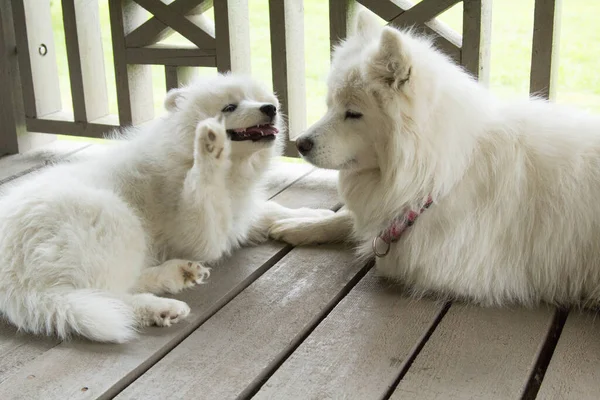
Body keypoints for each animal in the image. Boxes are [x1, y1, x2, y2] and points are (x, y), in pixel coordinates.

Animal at [0, 73, 332, 342]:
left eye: (264, 100)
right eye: (229, 107)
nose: (271, 109)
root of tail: (13, 279)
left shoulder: (235, 214)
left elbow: (268, 210)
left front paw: (310, 219)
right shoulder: (200, 234)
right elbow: (203, 190)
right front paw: (209, 146)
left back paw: (177, 276)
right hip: (116, 220)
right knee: (106, 294)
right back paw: (160, 306)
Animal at [272, 11, 600, 306]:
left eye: (353, 113)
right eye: (329, 105)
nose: (299, 143)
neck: (446, 174)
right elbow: (344, 219)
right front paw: (299, 223)